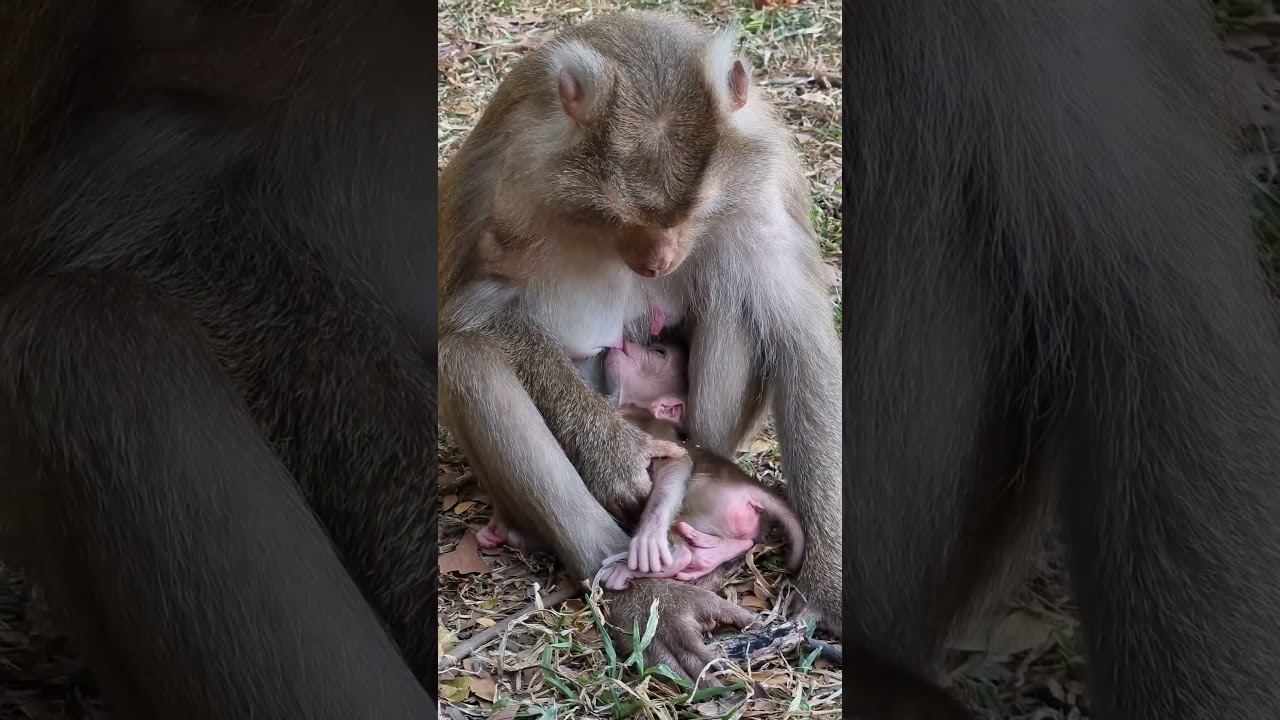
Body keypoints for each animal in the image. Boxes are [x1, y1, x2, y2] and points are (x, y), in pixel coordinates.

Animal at [438, 12, 843, 683]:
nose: (657, 260)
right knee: (468, 358)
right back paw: (641, 590)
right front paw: (614, 451)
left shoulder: (761, 190)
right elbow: (473, 314)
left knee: (733, 300)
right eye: (618, 212)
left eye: (693, 210)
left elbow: (802, 345)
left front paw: (832, 584)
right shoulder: (513, 180)